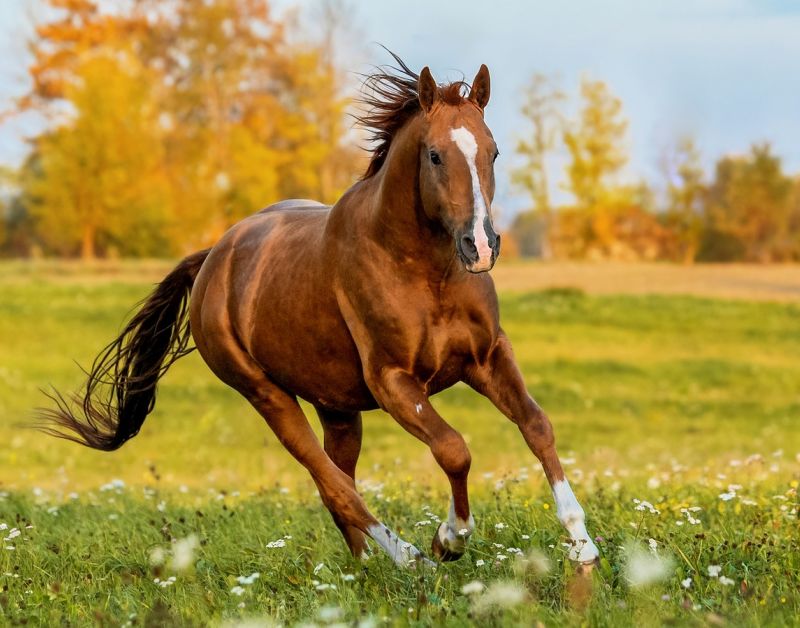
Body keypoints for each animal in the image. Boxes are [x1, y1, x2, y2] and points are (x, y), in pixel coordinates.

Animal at [40, 51, 596, 568]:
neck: (424, 272)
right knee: (334, 484)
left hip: (338, 407)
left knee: (338, 480)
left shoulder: (487, 357)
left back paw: (366, 566)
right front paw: (449, 539)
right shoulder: (394, 382)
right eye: (436, 155)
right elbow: (453, 449)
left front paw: (581, 544)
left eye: (493, 151)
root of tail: (213, 257)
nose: (480, 246)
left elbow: (537, 425)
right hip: (268, 396)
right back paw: (409, 558)